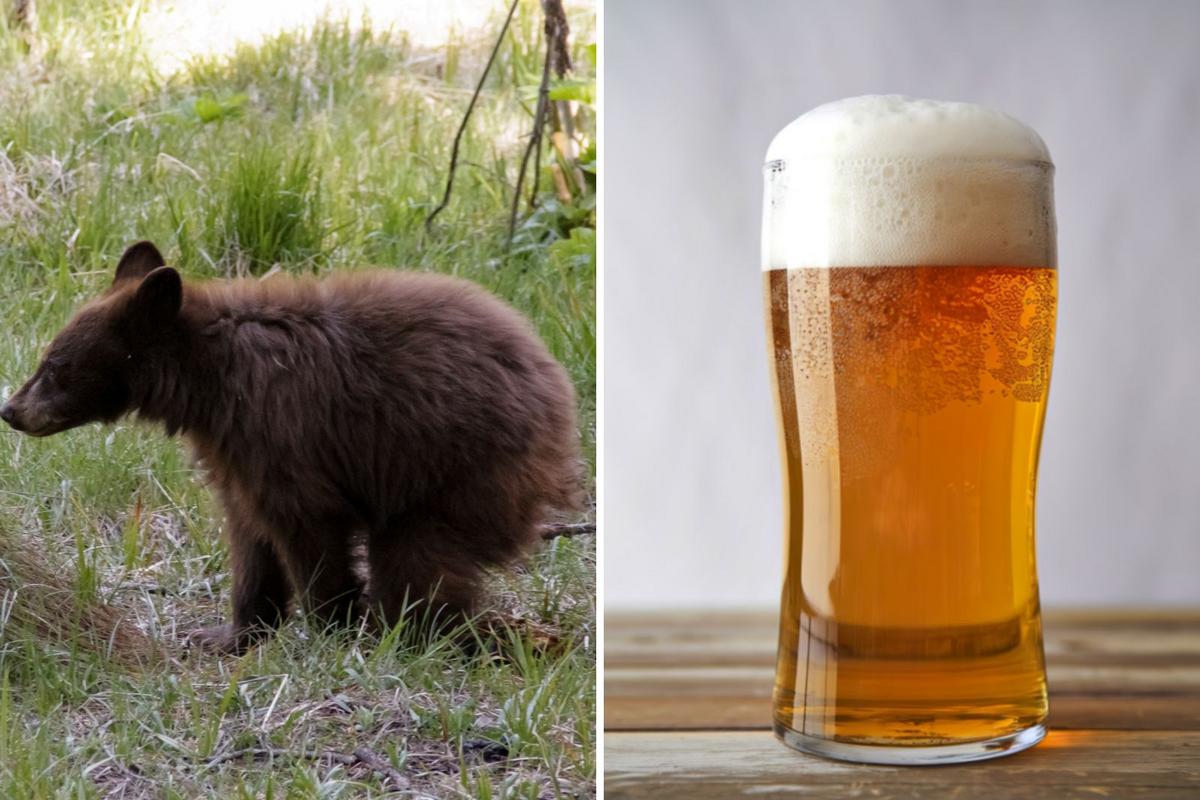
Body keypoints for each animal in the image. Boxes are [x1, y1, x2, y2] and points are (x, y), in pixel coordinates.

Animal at [0, 241, 582, 654]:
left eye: (55, 366)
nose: (10, 410)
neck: (210, 376)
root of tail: (560, 402)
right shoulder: (233, 448)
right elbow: (249, 533)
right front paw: (231, 634)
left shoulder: (279, 429)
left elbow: (306, 524)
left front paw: (331, 630)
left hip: (458, 472)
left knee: (416, 559)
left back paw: (420, 635)